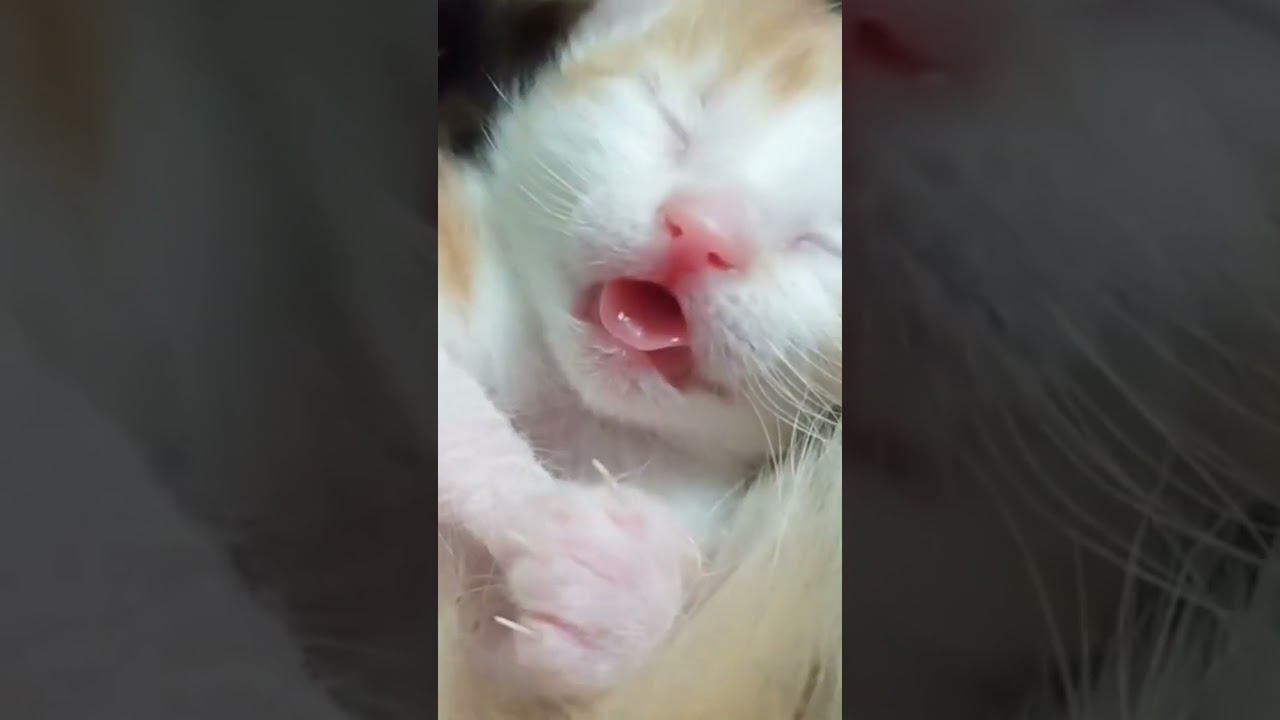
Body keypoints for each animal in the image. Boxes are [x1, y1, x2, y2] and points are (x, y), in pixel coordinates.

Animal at [436, 0, 842, 701]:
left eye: (821, 243)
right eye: (674, 121)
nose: (698, 231)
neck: (576, 410)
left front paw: (619, 593)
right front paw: (533, 505)